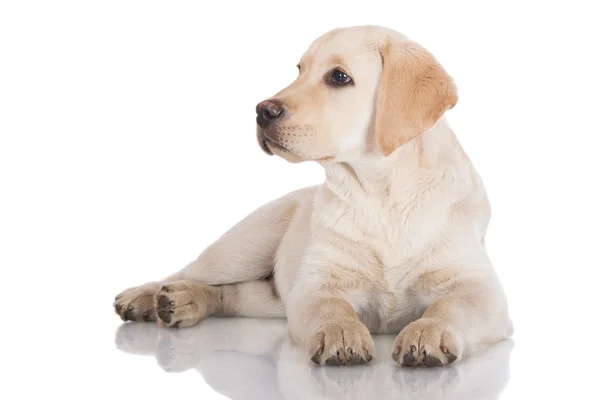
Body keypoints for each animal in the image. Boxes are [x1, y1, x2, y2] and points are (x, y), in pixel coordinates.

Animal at [115, 25, 512, 368]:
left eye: (338, 77)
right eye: (299, 70)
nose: (261, 111)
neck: (381, 194)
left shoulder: (480, 287)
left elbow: (451, 306)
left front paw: (426, 332)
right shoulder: (315, 283)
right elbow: (330, 306)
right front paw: (342, 333)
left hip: (269, 294)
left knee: (237, 294)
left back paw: (183, 302)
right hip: (243, 247)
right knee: (188, 271)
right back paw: (149, 296)